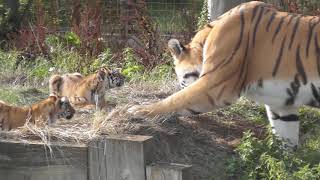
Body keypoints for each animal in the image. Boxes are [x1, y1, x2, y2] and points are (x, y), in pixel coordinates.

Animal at [129, 1, 320, 148]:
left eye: (183, 78)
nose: (181, 84)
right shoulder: (282, 105)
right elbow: (285, 145)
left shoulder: (215, 84)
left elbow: (175, 99)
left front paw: (139, 110)